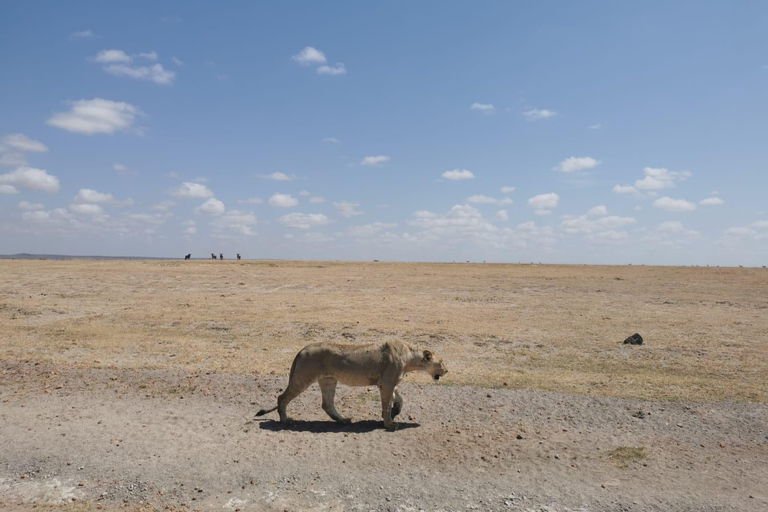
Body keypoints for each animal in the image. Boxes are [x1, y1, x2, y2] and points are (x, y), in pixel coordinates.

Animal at [255, 340, 448, 432]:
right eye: (442, 362)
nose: (447, 370)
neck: (410, 358)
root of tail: (302, 350)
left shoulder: (386, 383)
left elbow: (399, 398)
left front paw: (395, 411)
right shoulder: (386, 382)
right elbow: (387, 404)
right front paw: (389, 424)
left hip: (328, 380)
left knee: (327, 404)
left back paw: (343, 421)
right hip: (303, 378)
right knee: (282, 398)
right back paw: (285, 420)